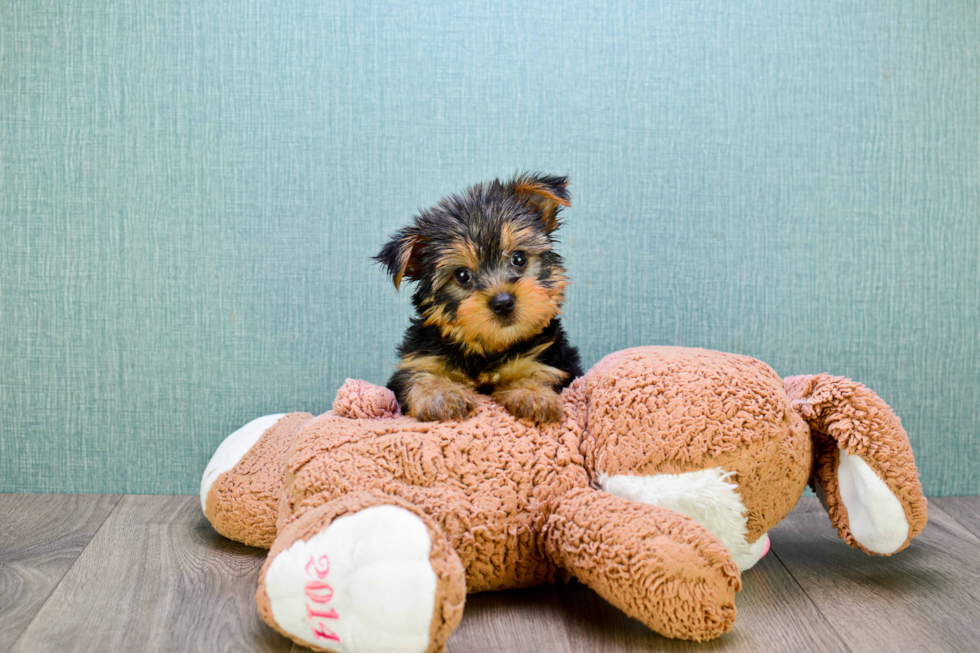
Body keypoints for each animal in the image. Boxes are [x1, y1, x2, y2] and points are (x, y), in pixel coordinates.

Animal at [376, 173, 580, 422]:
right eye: (462, 275)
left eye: (519, 258)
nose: (503, 303)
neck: (488, 348)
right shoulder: (419, 361)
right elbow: (419, 377)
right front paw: (441, 395)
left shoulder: (551, 361)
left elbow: (537, 373)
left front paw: (533, 394)